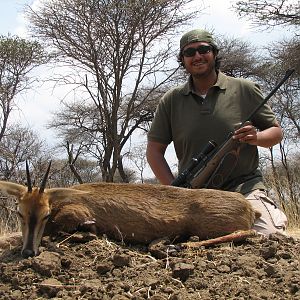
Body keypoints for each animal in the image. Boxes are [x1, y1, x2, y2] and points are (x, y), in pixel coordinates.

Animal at [0, 162, 260, 258]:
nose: (28, 252)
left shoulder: (75, 213)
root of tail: (247, 205)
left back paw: (179, 245)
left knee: (248, 233)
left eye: (45, 214)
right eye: (19, 212)